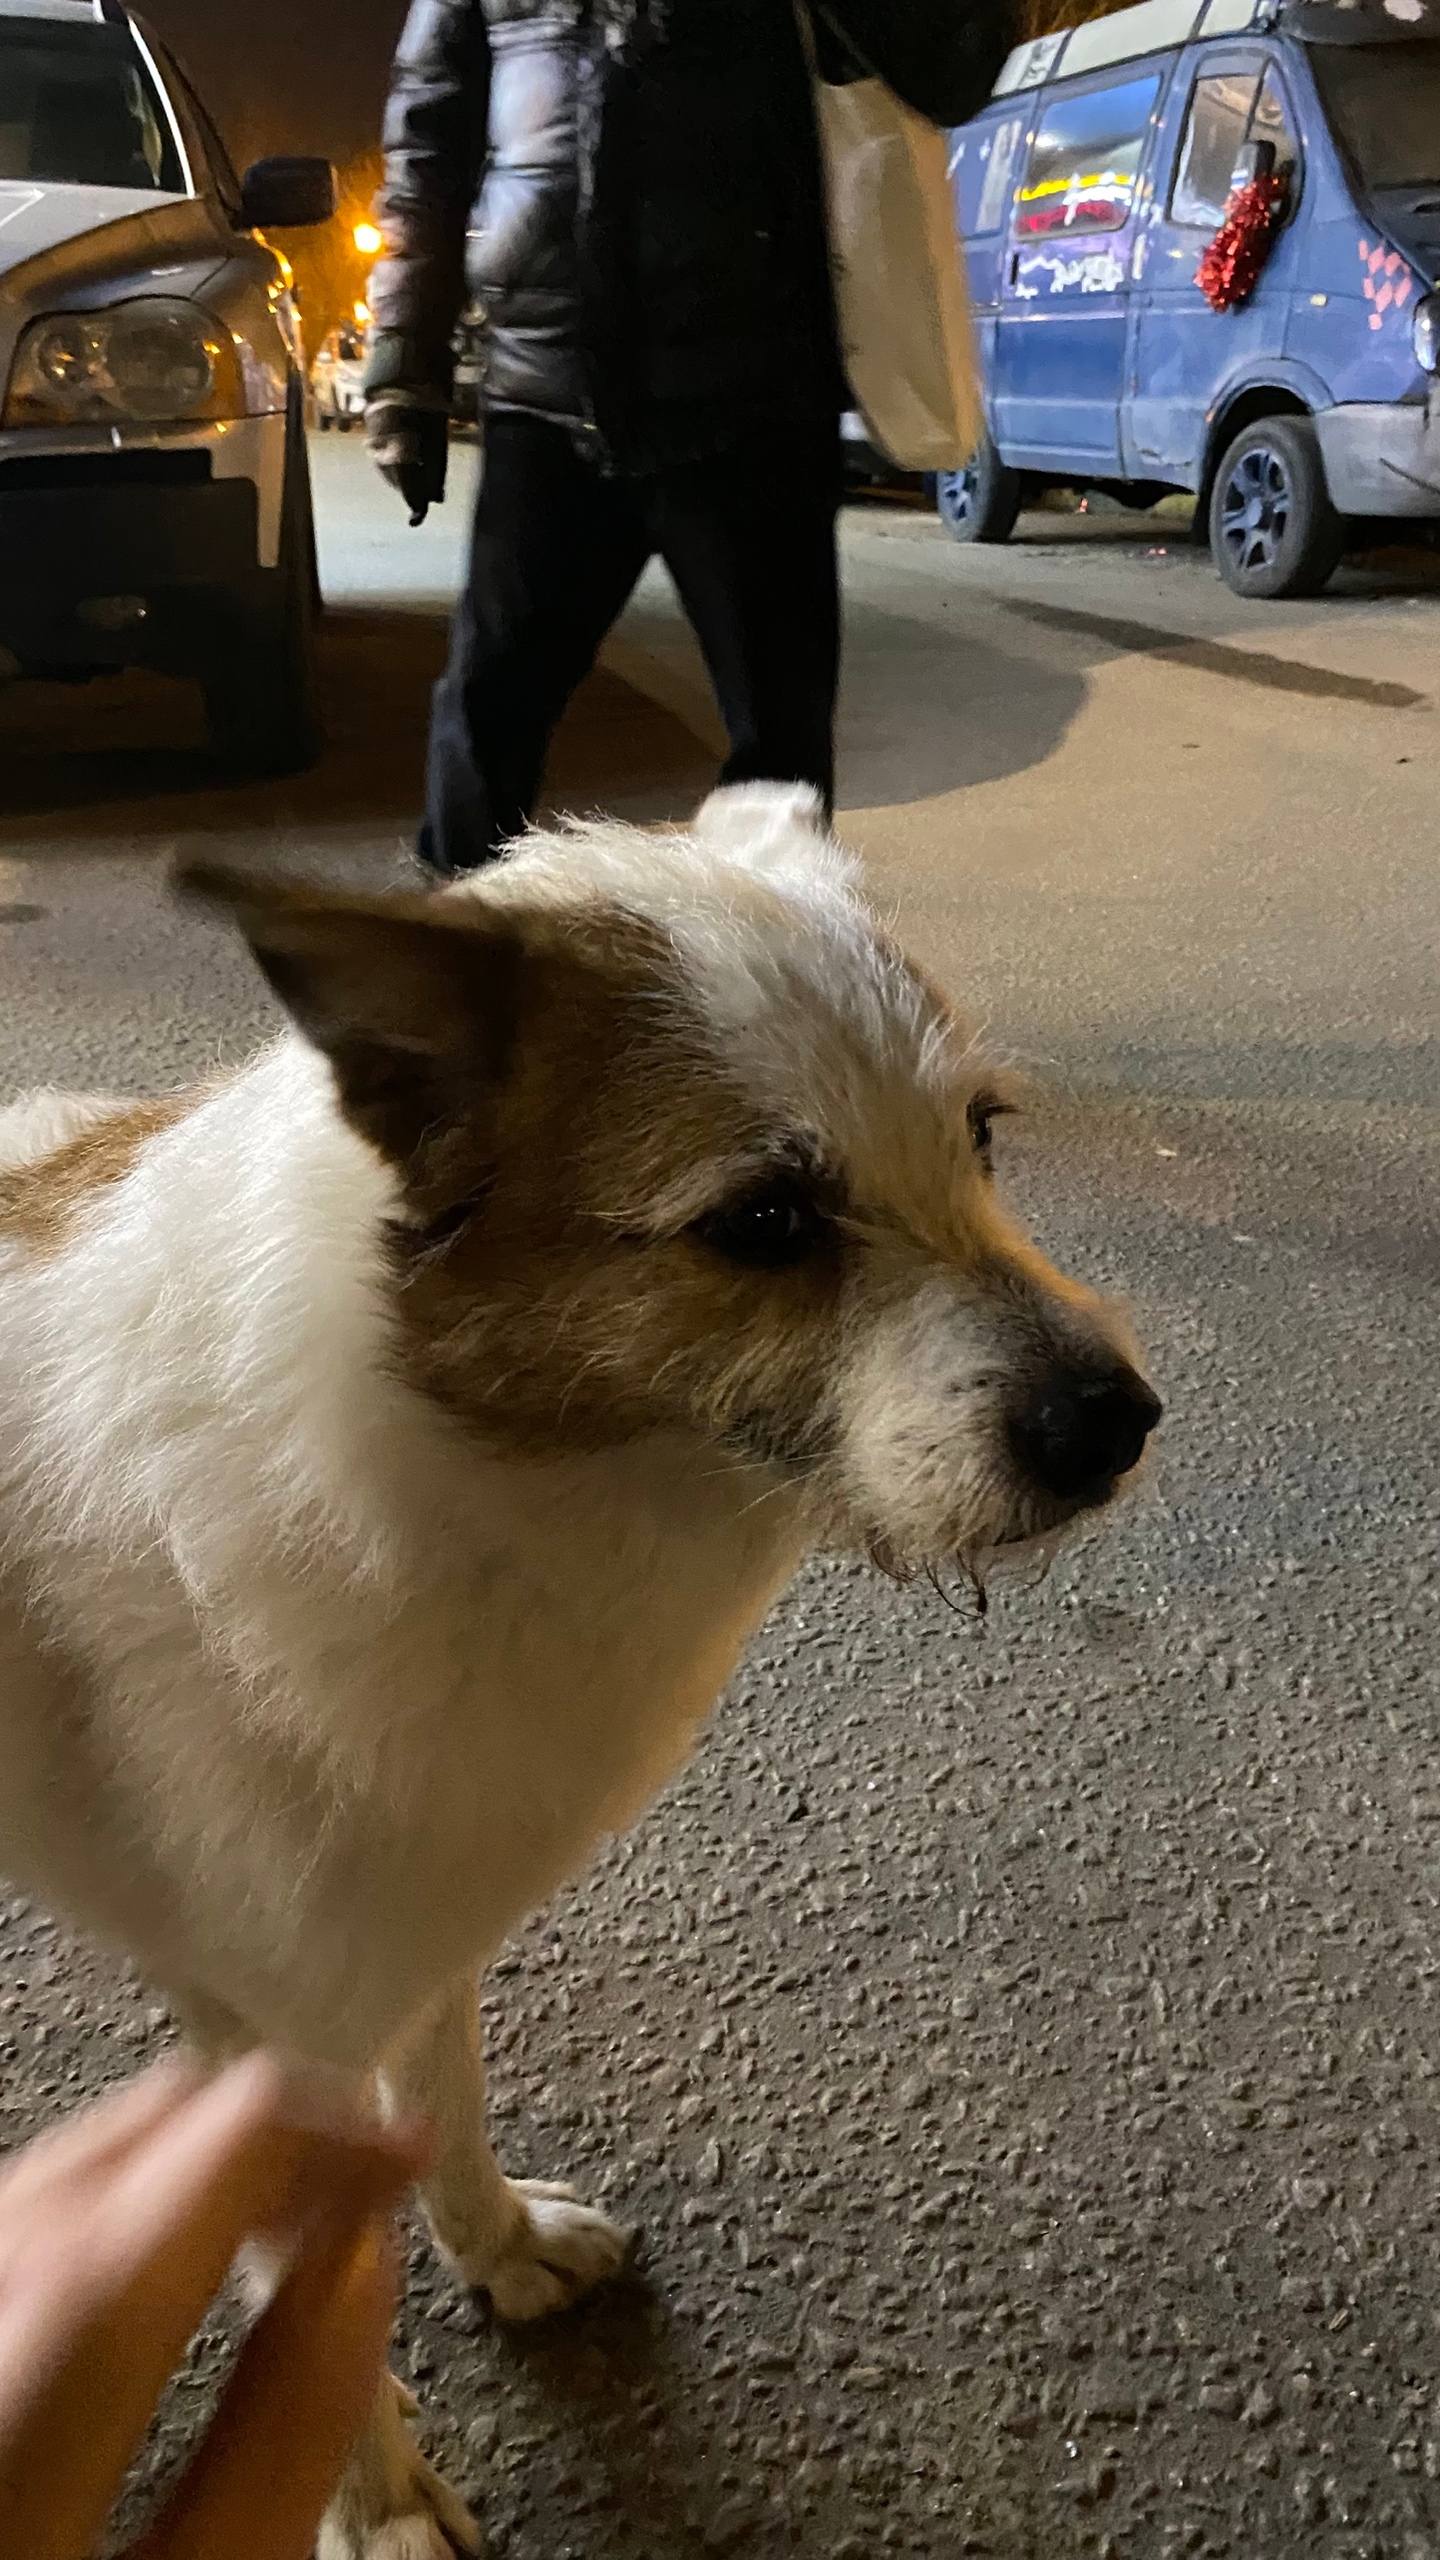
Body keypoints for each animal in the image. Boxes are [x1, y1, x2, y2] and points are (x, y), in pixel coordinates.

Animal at [0, 785, 1159, 2557]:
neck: (468, 1463)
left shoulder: (413, 1923)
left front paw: (496, 2252)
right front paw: (367, 2502)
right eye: (764, 1222)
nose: (1118, 1426)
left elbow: (450, 2109)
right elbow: (309, 2288)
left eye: (980, 1134)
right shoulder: (266, 2043)